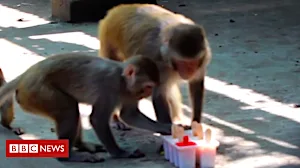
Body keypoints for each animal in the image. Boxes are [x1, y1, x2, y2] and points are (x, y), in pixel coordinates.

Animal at [0, 52, 169, 163]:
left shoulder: (130, 93)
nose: (148, 93)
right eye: (148, 86)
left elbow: (130, 115)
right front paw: (120, 153)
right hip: (37, 93)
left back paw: (82, 145)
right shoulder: (109, 86)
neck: (122, 80)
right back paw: (68, 156)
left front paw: (165, 127)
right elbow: (97, 119)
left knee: (72, 108)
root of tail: (26, 75)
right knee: (68, 110)